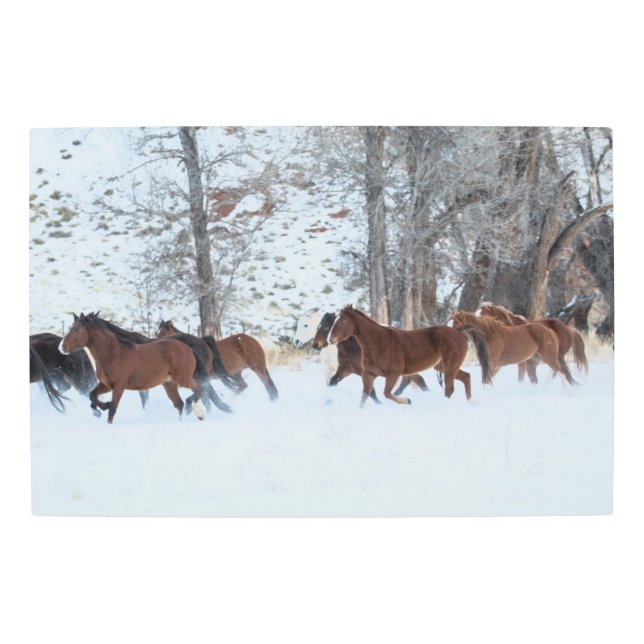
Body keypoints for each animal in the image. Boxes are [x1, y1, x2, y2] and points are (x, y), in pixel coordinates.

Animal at [59, 312, 214, 424]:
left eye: (77, 329)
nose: (62, 347)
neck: (113, 353)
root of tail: (189, 348)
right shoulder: (106, 385)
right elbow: (92, 395)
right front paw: (101, 408)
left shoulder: (119, 386)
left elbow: (113, 409)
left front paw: (107, 414)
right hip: (169, 384)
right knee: (180, 403)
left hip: (183, 379)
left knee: (199, 389)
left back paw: (196, 411)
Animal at [328, 305, 491, 406]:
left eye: (343, 320)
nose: (331, 338)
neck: (378, 342)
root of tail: (458, 331)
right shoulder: (368, 374)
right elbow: (365, 396)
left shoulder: (394, 374)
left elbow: (387, 393)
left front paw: (407, 400)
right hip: (444, 367)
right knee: (466, 377)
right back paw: (471, 402)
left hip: (450, 367)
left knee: (449, 389)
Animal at [449, 310, 577, 386]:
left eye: (457, 321)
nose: (451, 334)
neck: (489, 334)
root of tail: (551, 331)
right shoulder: (492, 365)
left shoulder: (493, 364)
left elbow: (487, 380)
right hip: (534, 362)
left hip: (549, 358)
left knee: (562, 373)